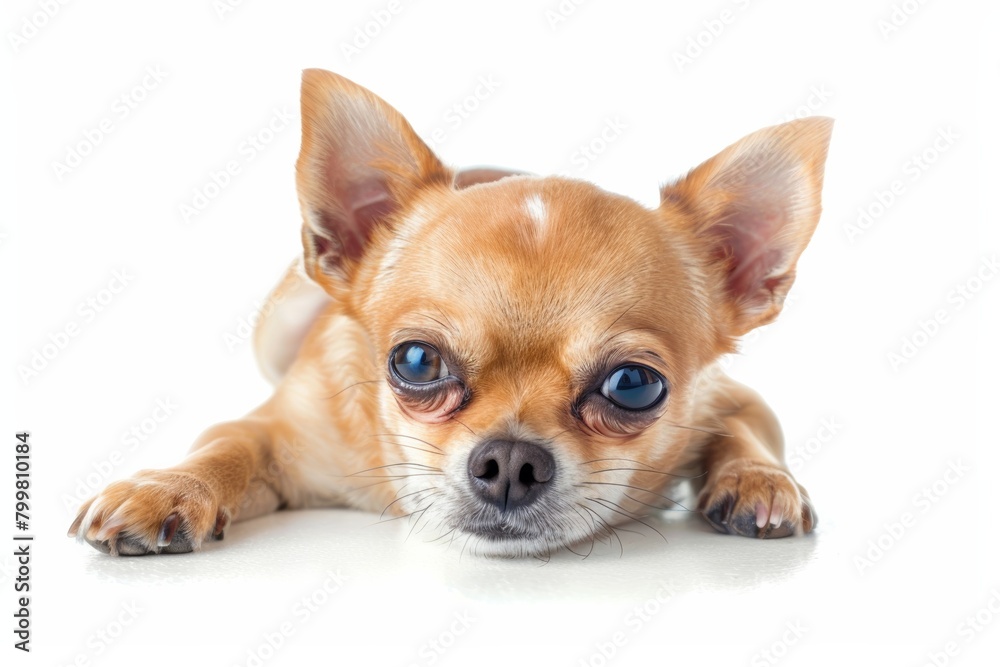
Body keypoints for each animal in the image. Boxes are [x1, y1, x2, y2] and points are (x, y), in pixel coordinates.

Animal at [70, 68, 832, 560]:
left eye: (635, 385)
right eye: (416, 361)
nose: (511, 460)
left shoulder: (729, 396)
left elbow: (745, 428)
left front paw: (757, 478)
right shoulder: (281, 431)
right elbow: (227, 443)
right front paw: (167, 488)